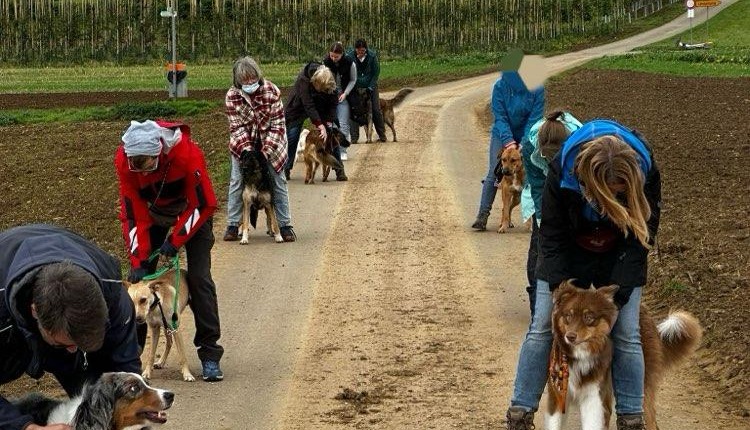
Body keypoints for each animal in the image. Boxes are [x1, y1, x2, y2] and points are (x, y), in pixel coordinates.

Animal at [548, 282, 704, 430]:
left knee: (650, 421)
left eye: (589, 317)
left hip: (641, 388)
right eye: (568, 316)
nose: (570, 337)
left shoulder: (592, 393)